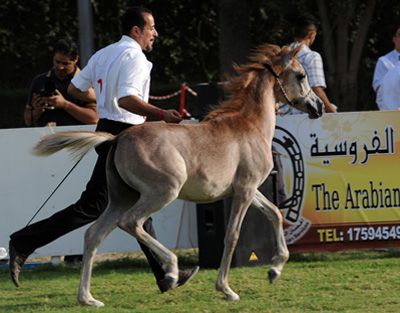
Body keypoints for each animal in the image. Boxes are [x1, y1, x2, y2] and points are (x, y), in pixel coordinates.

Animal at [32, 42, 324, 306]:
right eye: (301, 75)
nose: (318, 106)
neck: (250, 126)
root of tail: (117, 139)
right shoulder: (245, 190)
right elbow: (232, 235)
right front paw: (227, 289)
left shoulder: (248, 190)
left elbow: (274, 213)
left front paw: (274, 270)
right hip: (163, 191)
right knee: (132, 222)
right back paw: (172, 273)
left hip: (120, 198)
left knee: (94, 234)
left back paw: (87, 298)